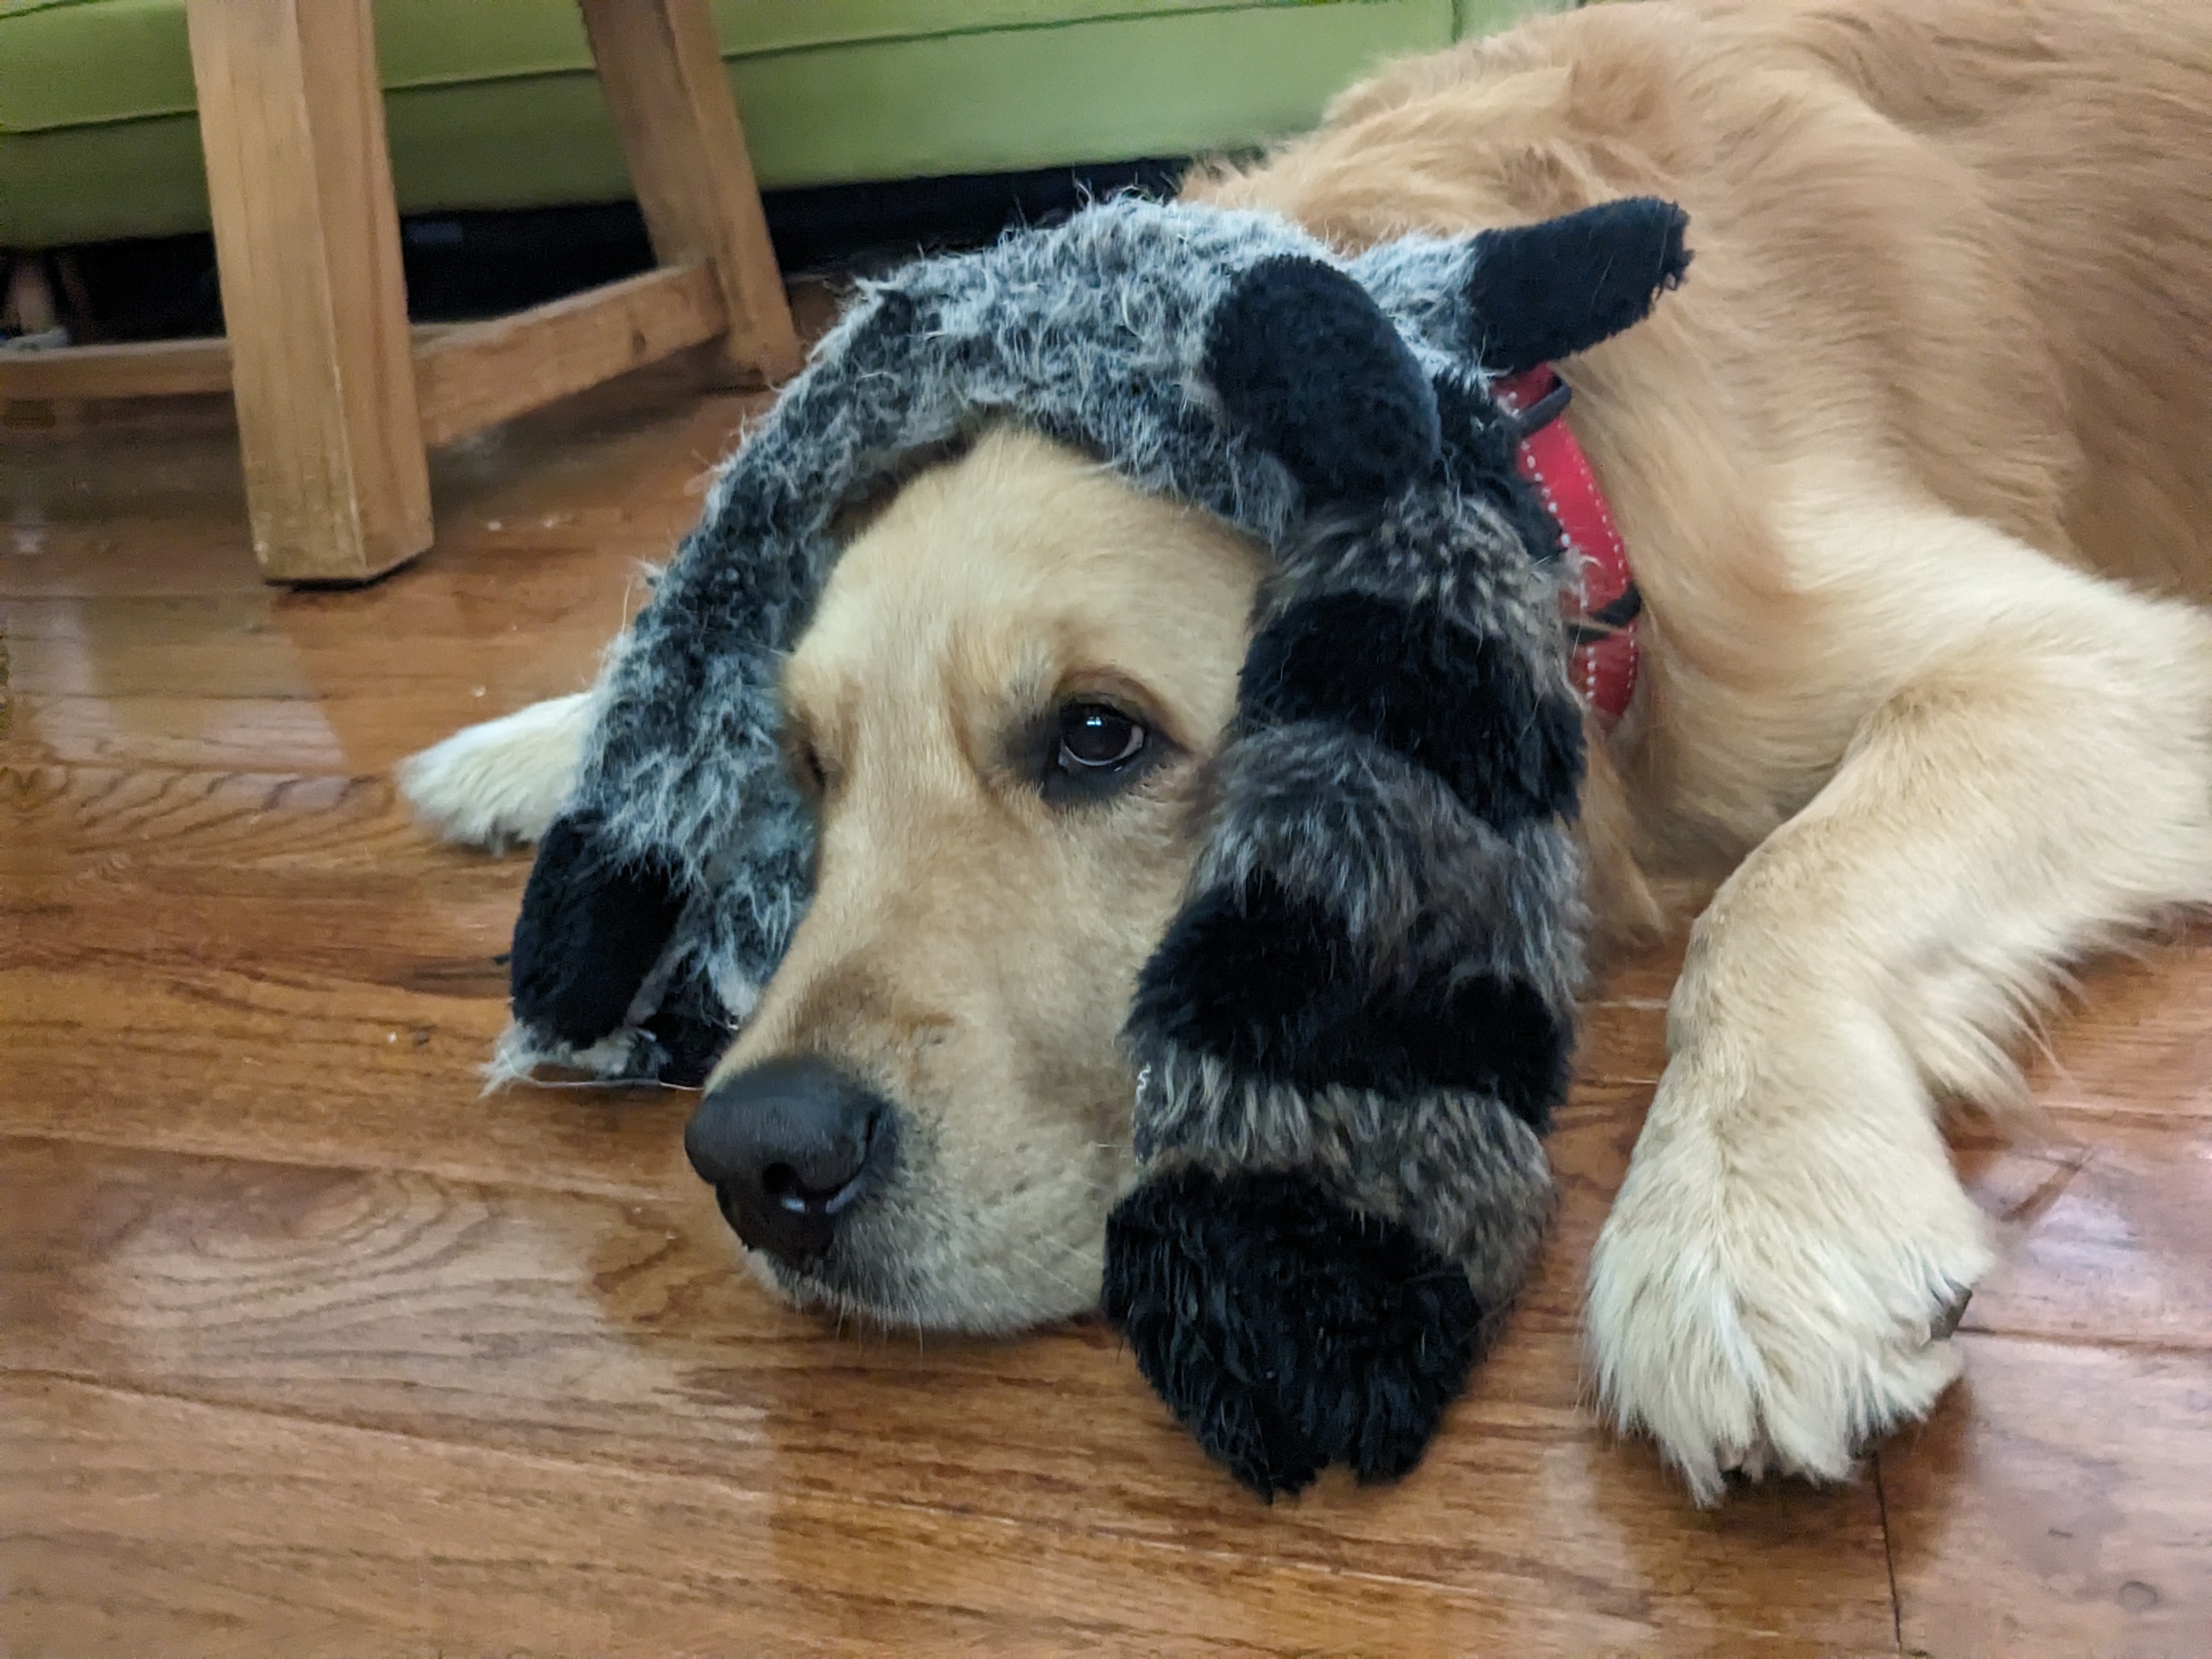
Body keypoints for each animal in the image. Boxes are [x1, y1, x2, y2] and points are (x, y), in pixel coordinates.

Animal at [407, 0, 2212, 1504]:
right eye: (808, 764)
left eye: (1096, 737)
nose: (758, 1157)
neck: (1548, 438)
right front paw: (535, 740)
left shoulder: (2109, 660)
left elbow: (1778, 884)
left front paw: (1745, 1223)